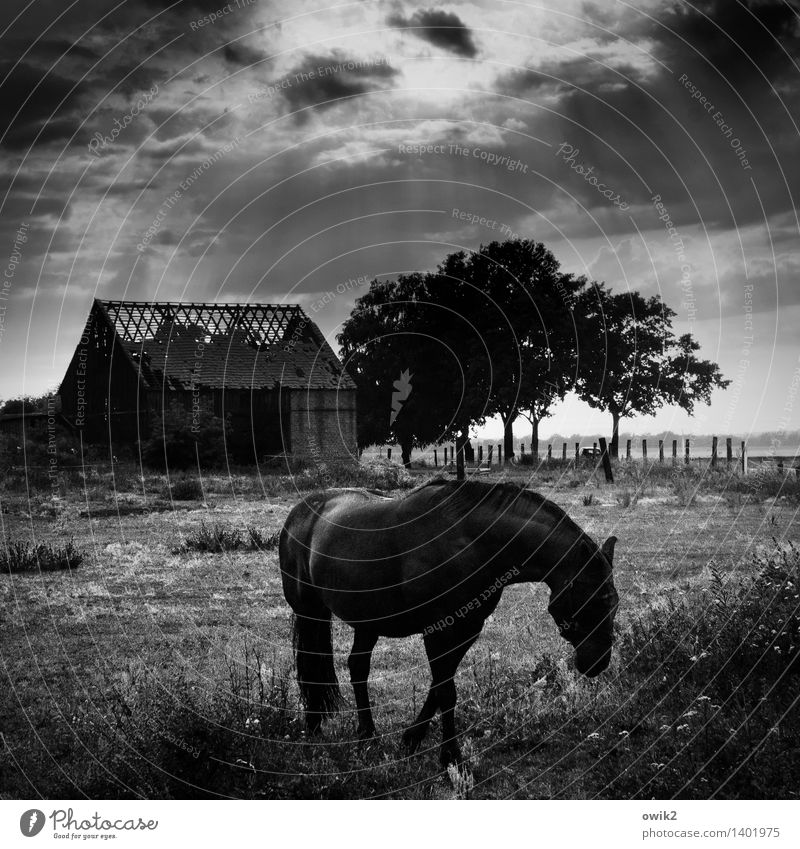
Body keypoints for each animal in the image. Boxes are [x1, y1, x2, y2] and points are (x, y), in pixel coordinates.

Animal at [278, 480, 620, 764]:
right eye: (593, 600)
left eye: (614, 603)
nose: (598, 662)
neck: (472, 543)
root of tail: (300, 513)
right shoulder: (439, 631)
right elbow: (446, 692)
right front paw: (449, 755)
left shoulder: (466, 629)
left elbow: (439, 687)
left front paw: (411, 738)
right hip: (310, 611)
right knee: (312, 661)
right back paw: (314, 725)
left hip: (367, 622)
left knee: (358, 667)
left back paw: (367, 735)